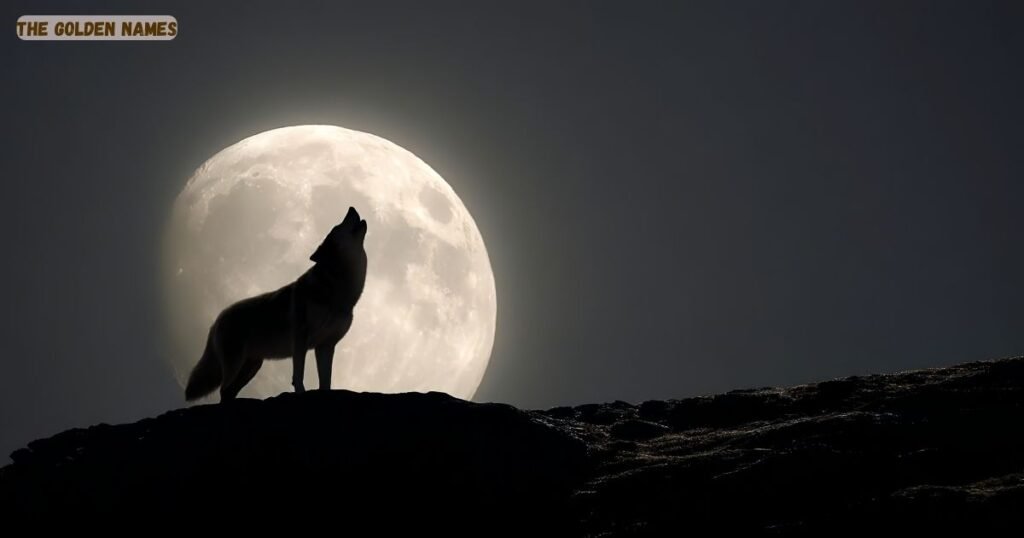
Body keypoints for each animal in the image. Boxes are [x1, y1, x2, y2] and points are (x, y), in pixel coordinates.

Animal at [185, 206, 368, 402]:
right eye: (337, 227)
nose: (351, 208)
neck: (336, 288)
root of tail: (217, 320)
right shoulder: (300, 339)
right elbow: (299, 375)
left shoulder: (326, 346)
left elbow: (326, 382)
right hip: (236, 364)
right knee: (224, 390)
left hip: (252, 366)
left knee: (230, 391)